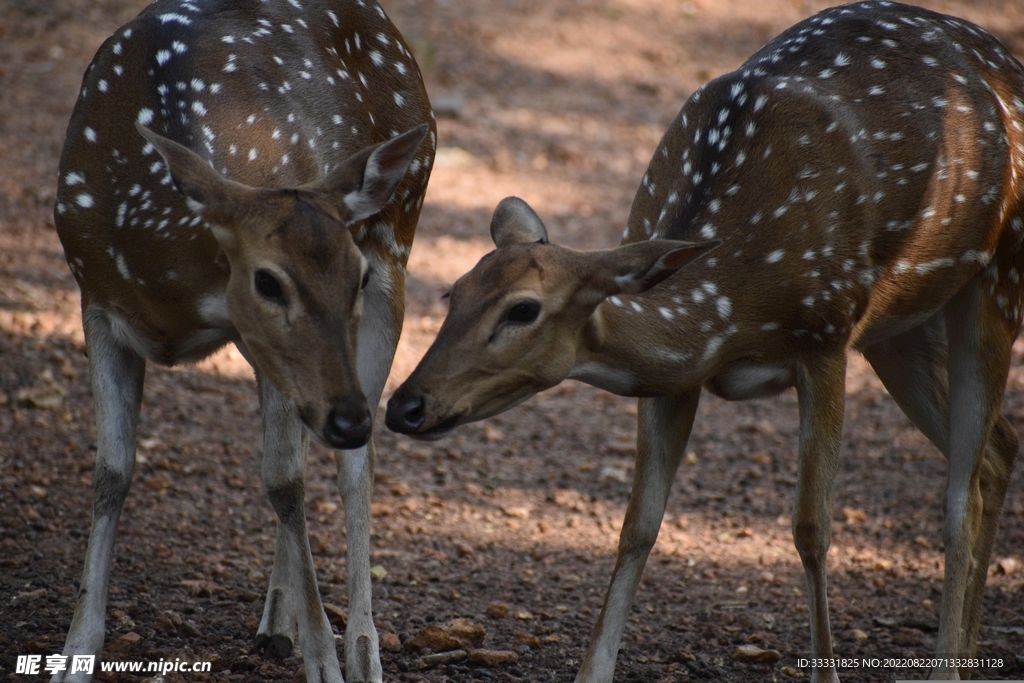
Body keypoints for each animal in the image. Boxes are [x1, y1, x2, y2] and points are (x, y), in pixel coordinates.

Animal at [51, 1, 434, 681]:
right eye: (268, 280)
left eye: (354, 277)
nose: (349, 417)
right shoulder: (93, 297)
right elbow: (111, 470)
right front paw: (76, 650)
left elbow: (283, 481)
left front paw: (325, 661)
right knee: (314, 448)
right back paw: (277, 621)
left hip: (399, 235)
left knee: (351, 464)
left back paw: (362, 647)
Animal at [386, 2, 1024, 681]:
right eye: (452, 292)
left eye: (523, 309)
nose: (404, 406)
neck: (729, 314)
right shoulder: (678, 380)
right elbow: (638, 524)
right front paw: (592, 669)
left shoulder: (825, 335)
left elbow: (811, 528)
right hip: (900, 326)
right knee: (998, 450)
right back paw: (969, 652)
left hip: (998, 276)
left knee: (961, 494)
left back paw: (949, 662)